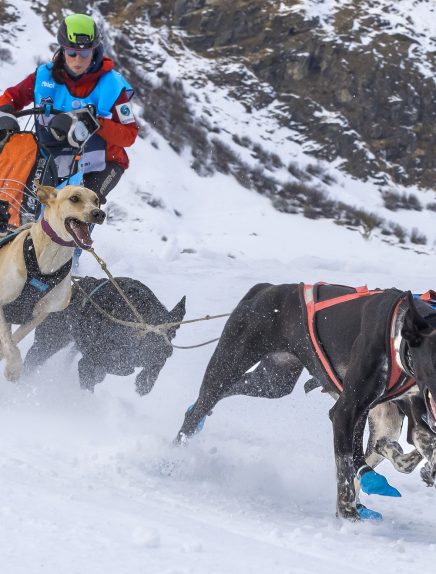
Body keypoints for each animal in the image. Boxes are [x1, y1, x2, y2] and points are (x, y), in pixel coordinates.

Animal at [0, 184, 105, 382]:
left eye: (96, 201)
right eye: (74, 198)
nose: (99, 213)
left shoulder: (40, 314)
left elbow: (13, 340)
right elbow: (10, 343)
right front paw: (14, 367)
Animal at [24, 278, 186, 396]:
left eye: (172, 333)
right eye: (149, 332)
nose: (166, 350)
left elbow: (154, 368)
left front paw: (145, 381)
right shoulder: (88, 363)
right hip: (49, 341)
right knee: (32, 359)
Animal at [175, 284, 436, 520]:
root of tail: (266, 289)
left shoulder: (414, 417)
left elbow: (425, 448)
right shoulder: (345, 411)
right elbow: (344, 469)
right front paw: (348, 514)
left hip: (274, 381)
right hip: (227, 366)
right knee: (200, 407)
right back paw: (175, 455)